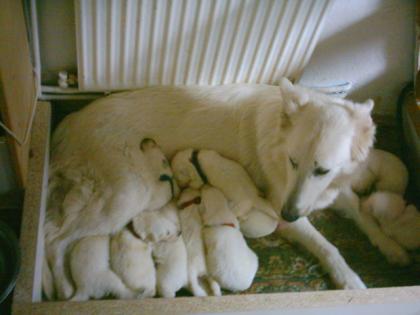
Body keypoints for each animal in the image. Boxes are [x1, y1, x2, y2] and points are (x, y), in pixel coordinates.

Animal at [46, 78, 374, 298]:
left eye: (322, 170)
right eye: (293, 162)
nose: (288, 214)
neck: (279, 144)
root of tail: (71, 120)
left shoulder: (330, 191)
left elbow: (361, 210)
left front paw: (383, 245)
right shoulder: (283, 205)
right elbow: (327, 245)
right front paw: (350, 279)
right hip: (127, 196)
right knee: (55, 240)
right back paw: (63, 290)